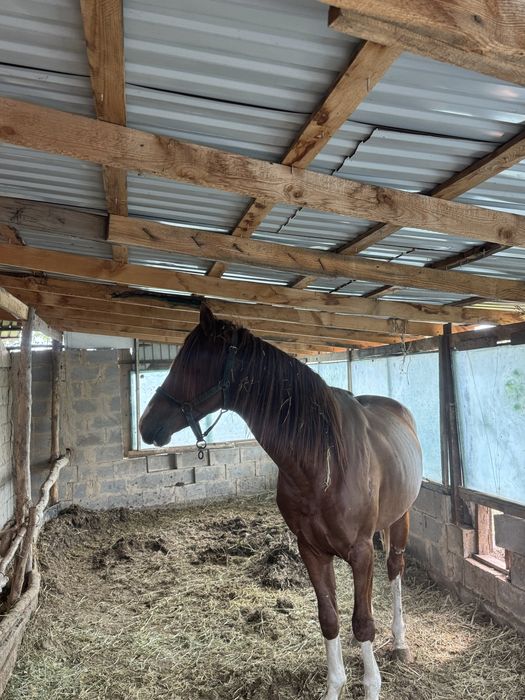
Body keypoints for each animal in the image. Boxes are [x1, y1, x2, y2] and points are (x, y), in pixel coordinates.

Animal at [139, 304, 423, 700]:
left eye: (191, 365)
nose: (146, 425)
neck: (323, 462)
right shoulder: (312, 551)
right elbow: (330, 619)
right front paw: (335, 686)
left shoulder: (361, 552)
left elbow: (363, 623)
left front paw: (371, 685)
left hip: (401, 518)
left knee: (395, 568)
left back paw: (399, 643)